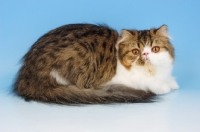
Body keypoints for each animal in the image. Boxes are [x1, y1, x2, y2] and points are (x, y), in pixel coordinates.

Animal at [14, 23, 180, 104]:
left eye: (155, 49)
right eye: (135, 51)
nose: (145, 54)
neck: (152, 72)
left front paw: (171, 84)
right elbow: (153, 86)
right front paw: (163, 88)